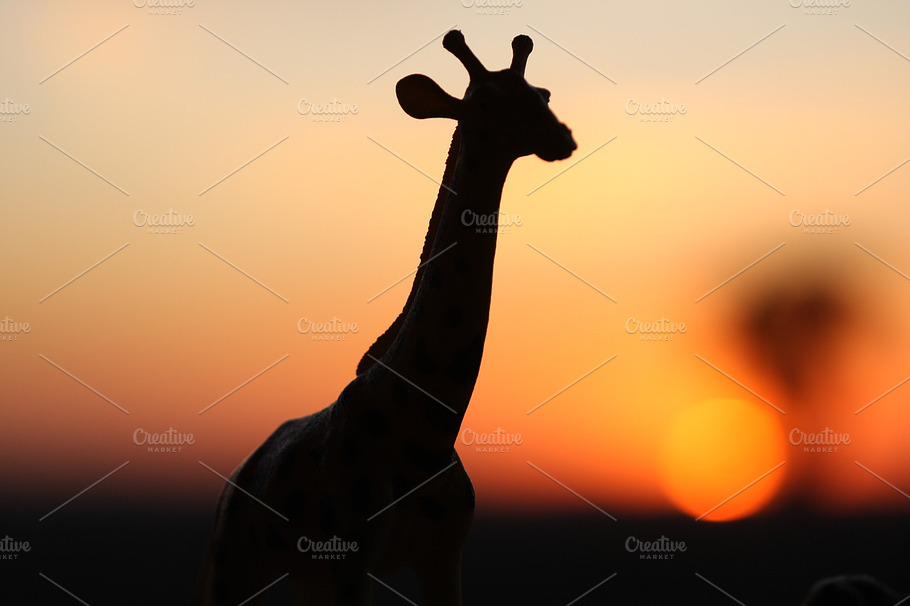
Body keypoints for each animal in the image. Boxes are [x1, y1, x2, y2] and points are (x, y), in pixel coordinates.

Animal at [196, 30, 575, 605]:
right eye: (486, 102)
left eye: (543, 95)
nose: (562, 137)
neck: (426, 431)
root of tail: (238, 477)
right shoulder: (352, 559)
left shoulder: (443, 556)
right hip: (234, 562)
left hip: (306, 577)